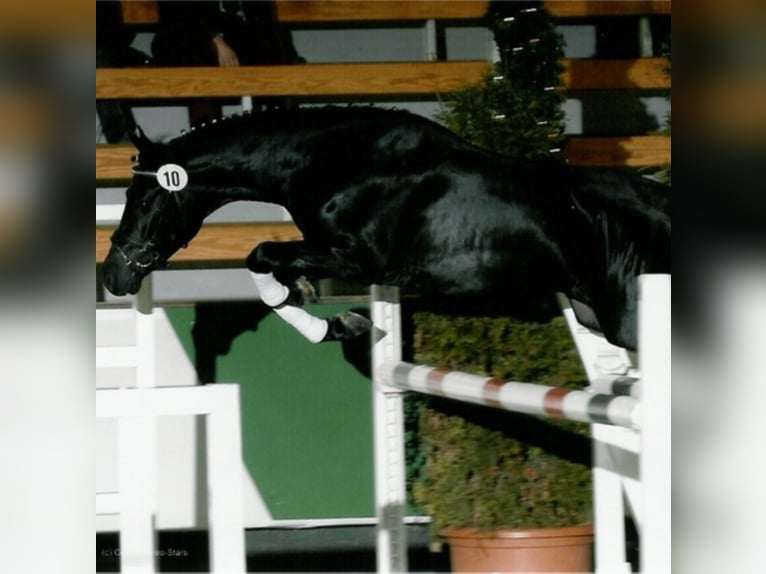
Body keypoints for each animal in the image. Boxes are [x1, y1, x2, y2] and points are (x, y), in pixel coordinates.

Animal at [102, 106, 670, 350]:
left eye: (142, 197)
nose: (114, 275)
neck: (337, 161)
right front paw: (332, 316)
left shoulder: (359, 258)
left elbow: (260, 255)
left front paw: (328, 323)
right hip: (596, 318)